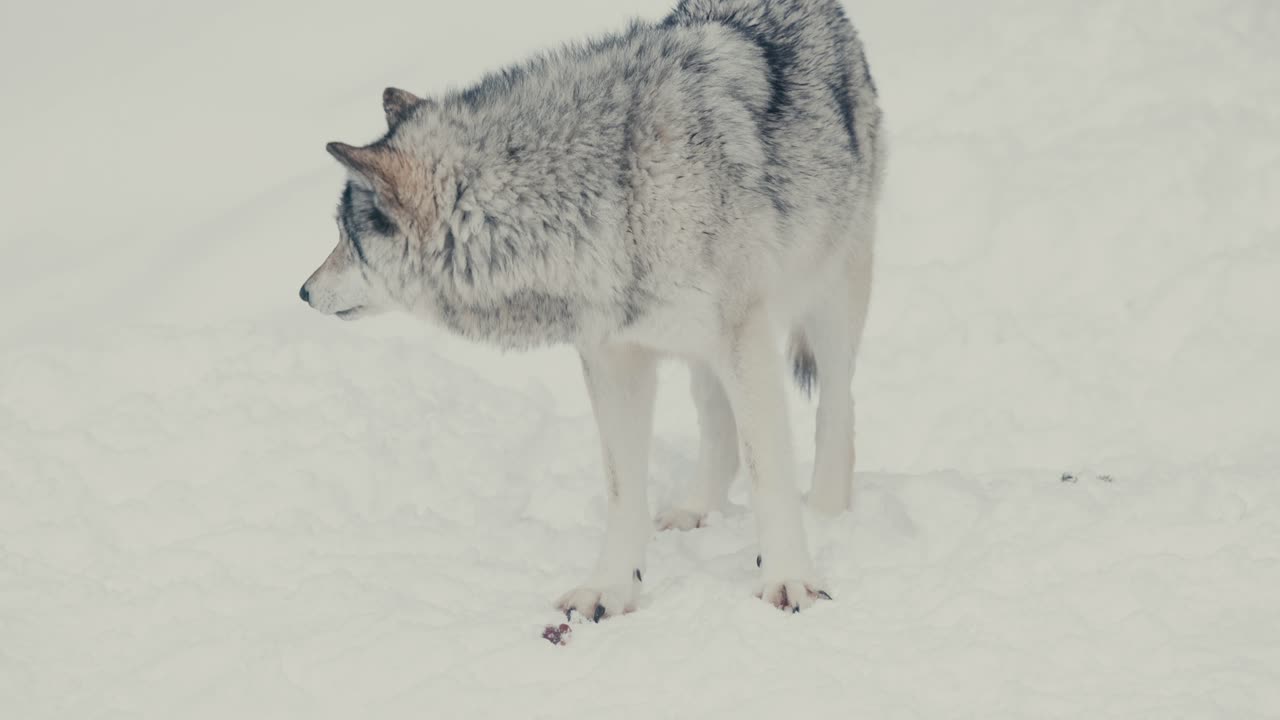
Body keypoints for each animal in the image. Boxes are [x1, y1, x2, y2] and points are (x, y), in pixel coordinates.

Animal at [300, 0, 883, 619]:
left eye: (346, 237)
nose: (304, 292)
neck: (607, 196)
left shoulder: (742, 340)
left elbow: (768, 474)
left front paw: (790, 580)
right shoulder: (613, 358)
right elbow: (622, 489)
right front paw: (610, 589)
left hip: (826, 298)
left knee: (837, 408)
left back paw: (827, 512)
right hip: (701, 350)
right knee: (718, 423)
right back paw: (697, 509)